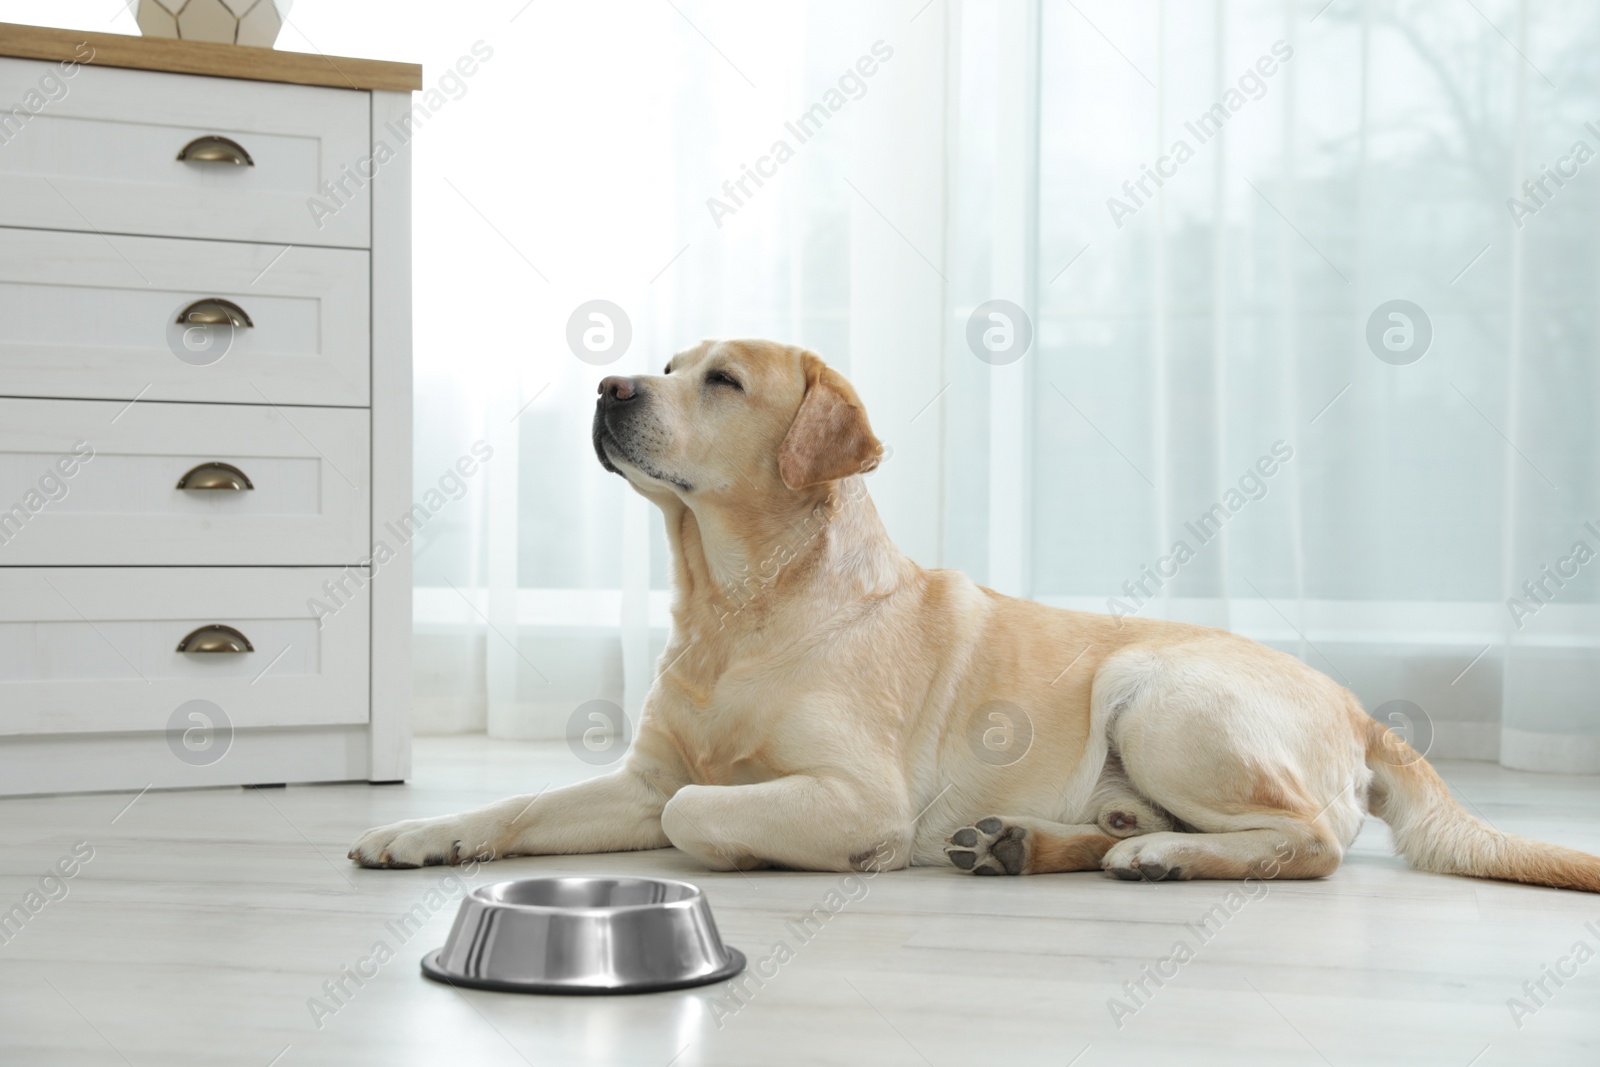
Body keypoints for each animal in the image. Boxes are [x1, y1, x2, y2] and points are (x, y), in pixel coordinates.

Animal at [353, 342, 1600, 895]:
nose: (608, 387)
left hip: (1156, 690)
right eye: (664, 362)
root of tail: (1355, 705)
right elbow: (521, 804)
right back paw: (1037, 841)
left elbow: (700, 809)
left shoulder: (850, 788)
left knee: (1314, 841)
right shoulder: (638, 773)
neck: (738, 606)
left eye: (721, 380)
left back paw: (1159, 850)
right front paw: (421, 831)